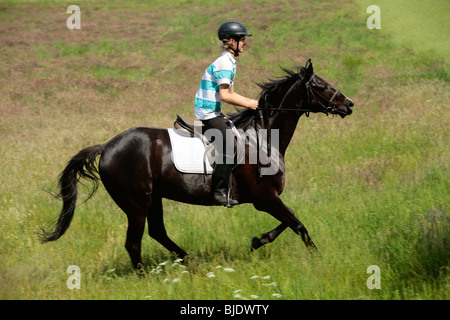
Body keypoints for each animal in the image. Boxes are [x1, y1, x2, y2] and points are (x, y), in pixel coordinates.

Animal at [40, 58, 354, 268]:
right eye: (321, 86)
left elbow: (287, 224)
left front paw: (257, 240)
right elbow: (298, 224)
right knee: (134, 243)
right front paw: (317, 258)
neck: (264, 137)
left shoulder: (267, 200)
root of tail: (106, 147)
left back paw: (189, 261)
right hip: (136, 204)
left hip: (153, 199)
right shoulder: (265, 198)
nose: (349, 104)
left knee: (158, 233)